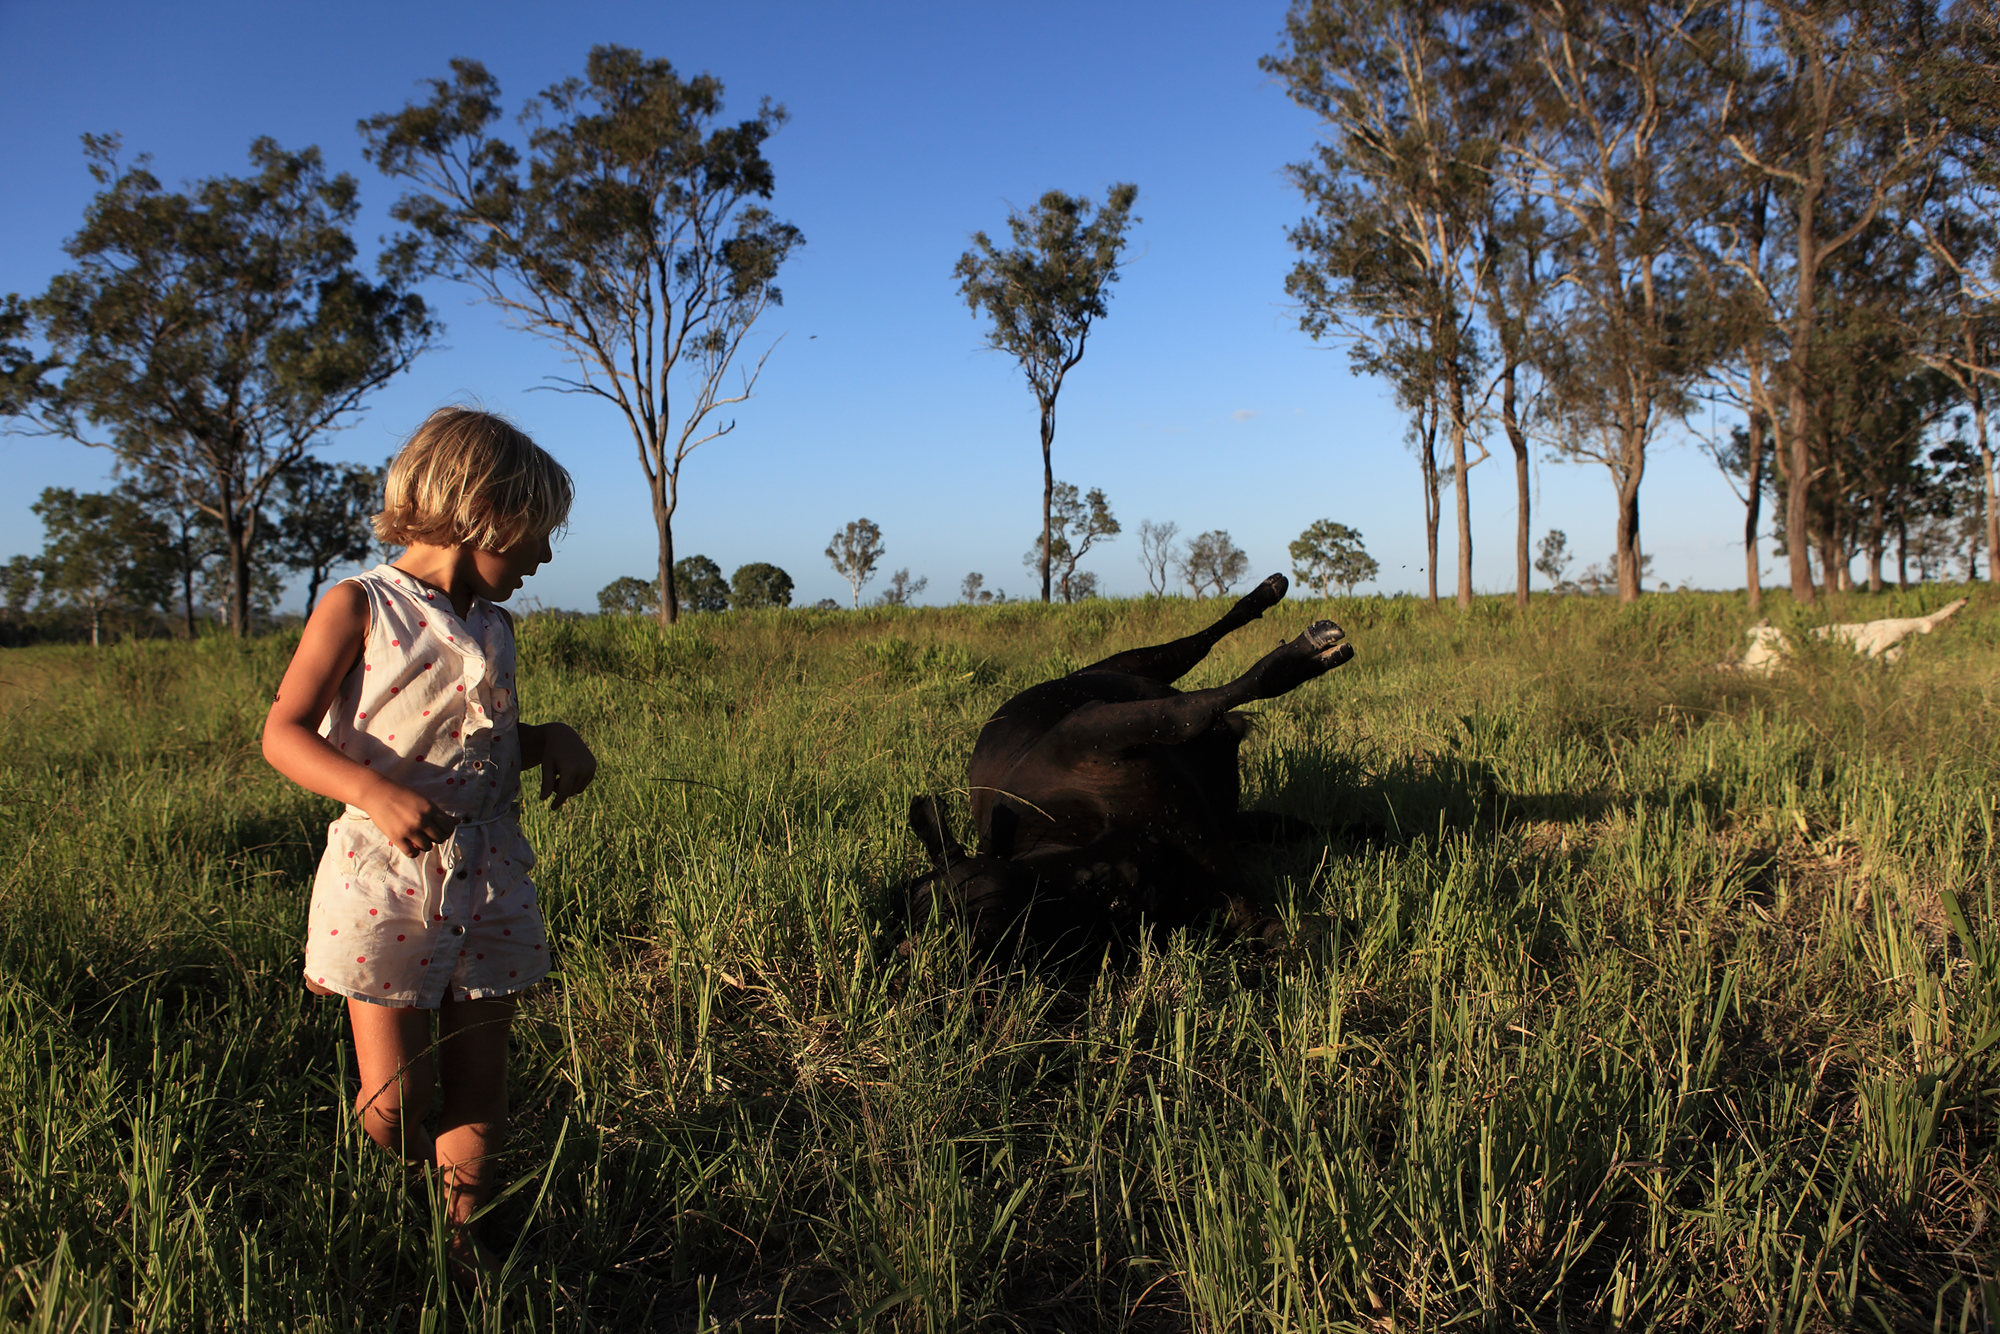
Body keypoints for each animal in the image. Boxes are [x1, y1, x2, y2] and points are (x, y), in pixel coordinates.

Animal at [912, 580, 1360, 956]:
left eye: (962, 892)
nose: (1126, 887)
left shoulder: (1086, 728)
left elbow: (1189, 711)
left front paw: (1298, 657)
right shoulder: (1227, 894)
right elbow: (1287, 933)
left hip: (1135, 664)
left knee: (1198, 643)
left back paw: (1268, 594)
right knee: (1279, 822)